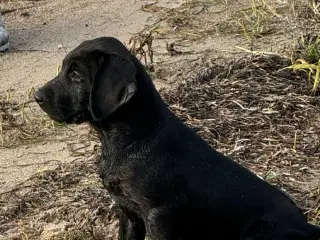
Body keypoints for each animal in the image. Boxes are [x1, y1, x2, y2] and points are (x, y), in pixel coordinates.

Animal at [34, 36, 320, 239]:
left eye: (76, 76)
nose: (36, 96)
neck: (127, 140)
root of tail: (307, 227)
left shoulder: (160, 214)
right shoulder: (128, 213)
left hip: (257, 234)